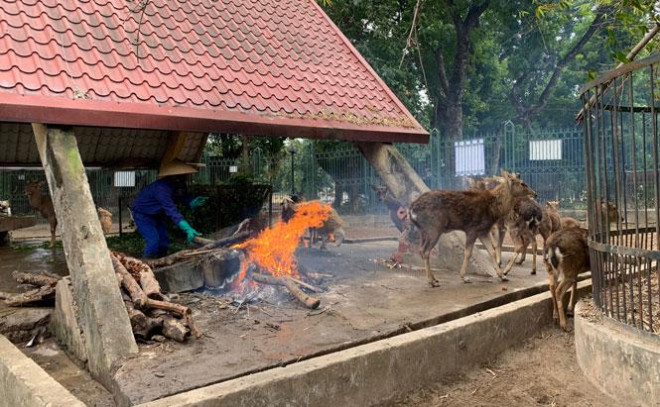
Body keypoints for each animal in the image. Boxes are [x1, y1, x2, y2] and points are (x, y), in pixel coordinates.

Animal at [408, 171, 536, 288]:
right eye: (522, 183)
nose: (534, 193)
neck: (494, 210)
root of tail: (411, 210)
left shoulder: (483, 231)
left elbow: (492, 251)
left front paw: (502, 275)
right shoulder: (472, 229)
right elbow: (468, 252)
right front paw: (464, 277)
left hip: (423, 231)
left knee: (421, 249)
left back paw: (434, 279)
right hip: (433, 228)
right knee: (425, 251)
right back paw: (432, 281)